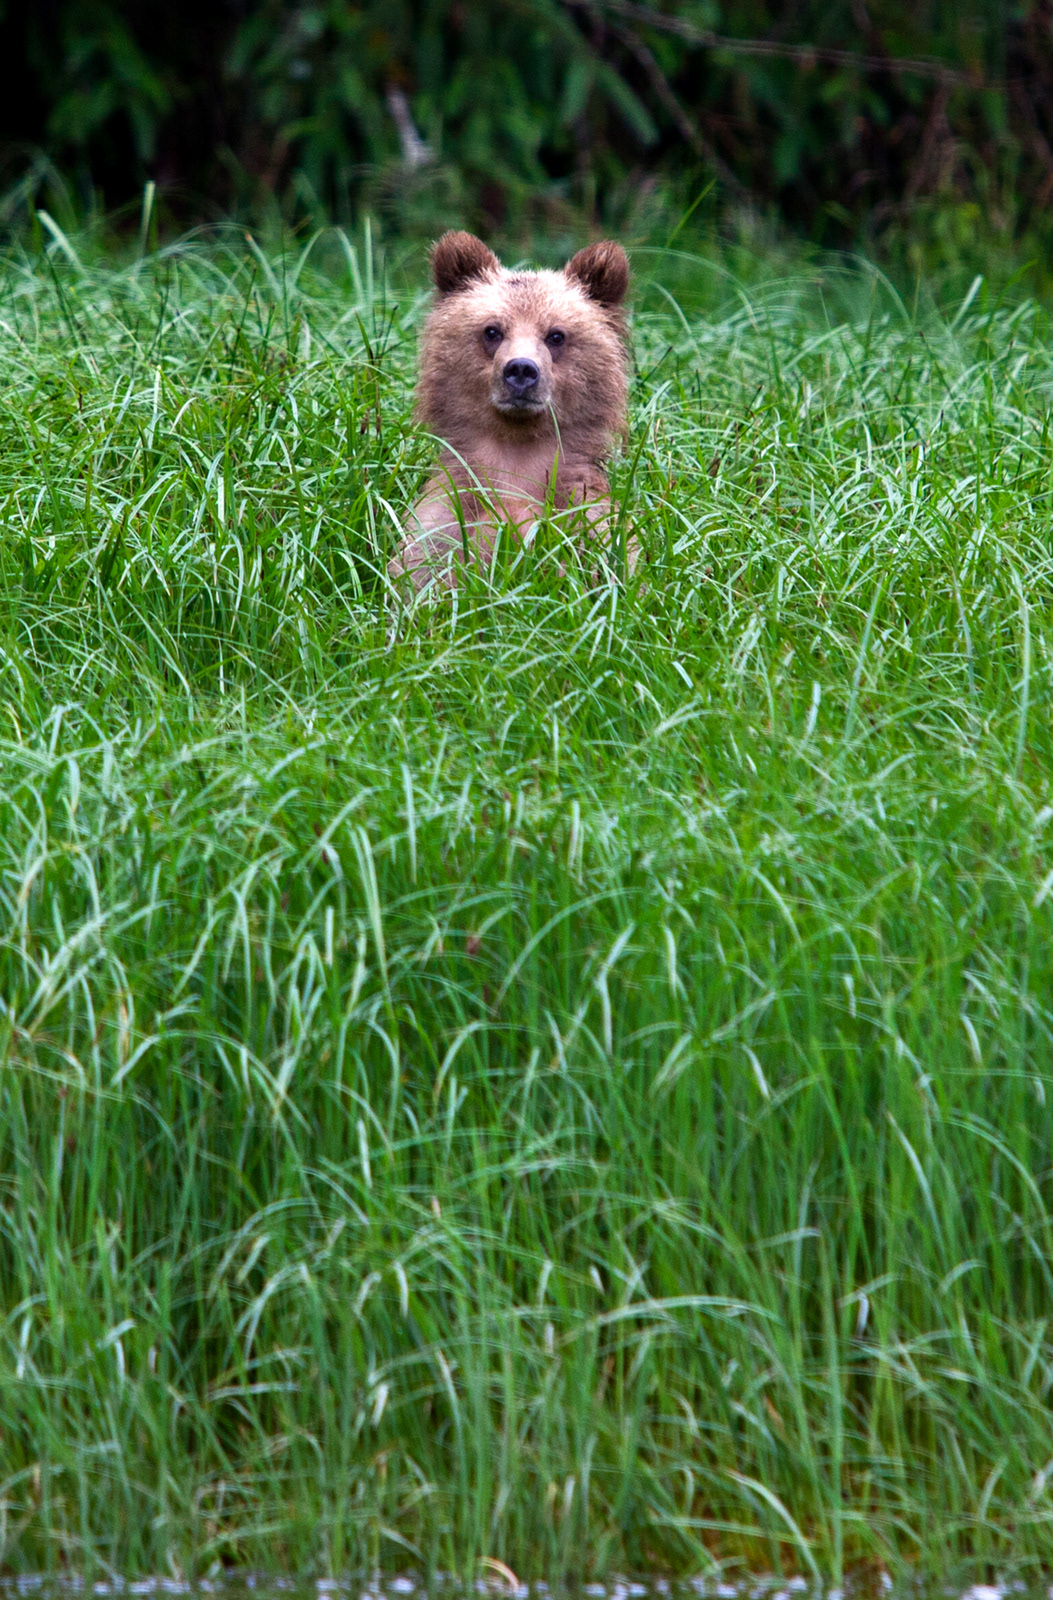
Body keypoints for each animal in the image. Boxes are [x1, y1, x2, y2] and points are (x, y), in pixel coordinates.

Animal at [388, 231, 638, 592]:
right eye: (492, 330)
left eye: (556, 335)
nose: (521, 369)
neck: (517, 455)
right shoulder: (446, 519)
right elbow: (419, 573)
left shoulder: (587, 521)